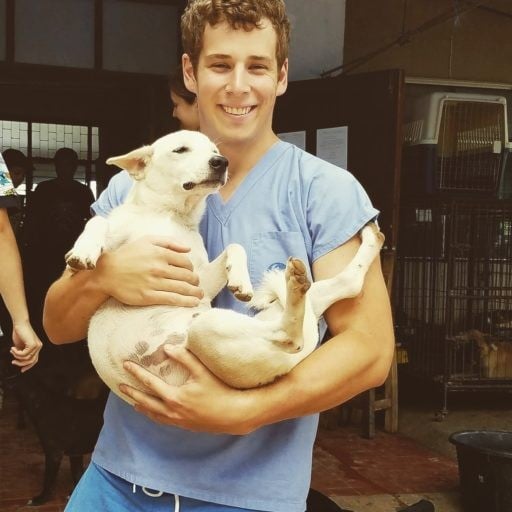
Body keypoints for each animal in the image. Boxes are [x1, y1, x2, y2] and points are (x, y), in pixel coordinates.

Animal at [65, 130, 384, 402]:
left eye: (215, 151)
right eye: (180, 149)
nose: (221, 162)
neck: (170, 216)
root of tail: (288, 365)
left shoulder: (199, 283)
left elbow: (235, 247)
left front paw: (241, 282)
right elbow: (98, 220)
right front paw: (83, 250)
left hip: (215, 327)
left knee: (294, 330)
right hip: (230, 328)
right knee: (327, 300)